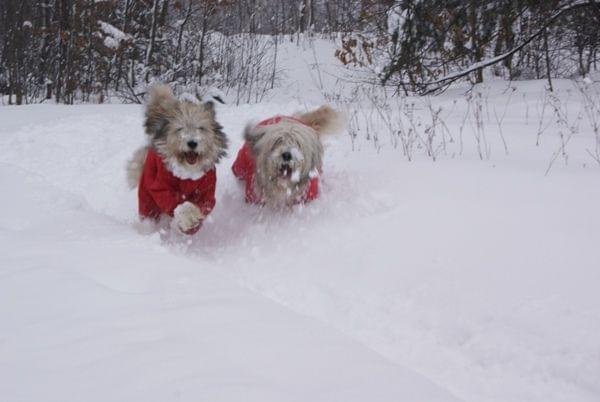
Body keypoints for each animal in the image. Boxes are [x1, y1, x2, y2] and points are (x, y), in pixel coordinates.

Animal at [126, 86, 227, 234]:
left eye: (201, 128)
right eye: (180, 128)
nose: (192, 143)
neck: (187, 175)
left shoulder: (207, 190)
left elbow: (202, 204)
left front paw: (191, 222)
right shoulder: (161, 186)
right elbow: (173, 202)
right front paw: (187, 218)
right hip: (146, 196)